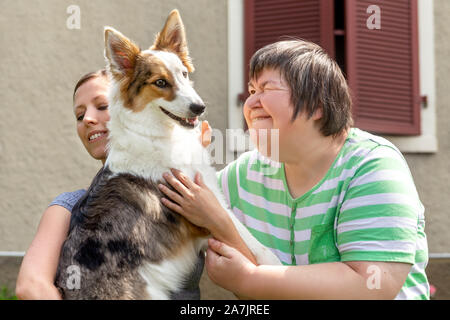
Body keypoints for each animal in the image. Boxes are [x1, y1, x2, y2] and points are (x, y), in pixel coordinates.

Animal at [54, 9, 280, 300]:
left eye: (183, 74)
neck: (159, 135)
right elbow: (251, 240)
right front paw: (276, 266)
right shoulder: (206, 210)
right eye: (160, 82)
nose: (199, 107)